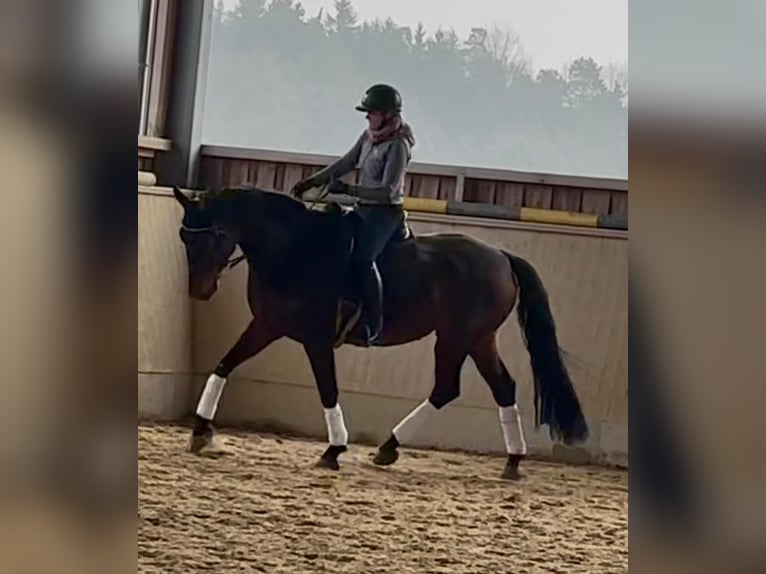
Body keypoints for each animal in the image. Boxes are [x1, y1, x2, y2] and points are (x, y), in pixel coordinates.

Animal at [172, 184, 588, 479]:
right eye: (183, 238)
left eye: (208, 236)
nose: (200, 291)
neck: (293, 249)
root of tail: (501, 257)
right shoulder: (267, 326)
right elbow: (224, 364)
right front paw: (201, 432)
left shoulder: (316, 340)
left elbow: (328, 390)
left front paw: (333, 450)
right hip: (478, 339)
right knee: (501, 387)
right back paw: (510, 461)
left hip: (456, 337)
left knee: (448, 388)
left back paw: (391, 446)